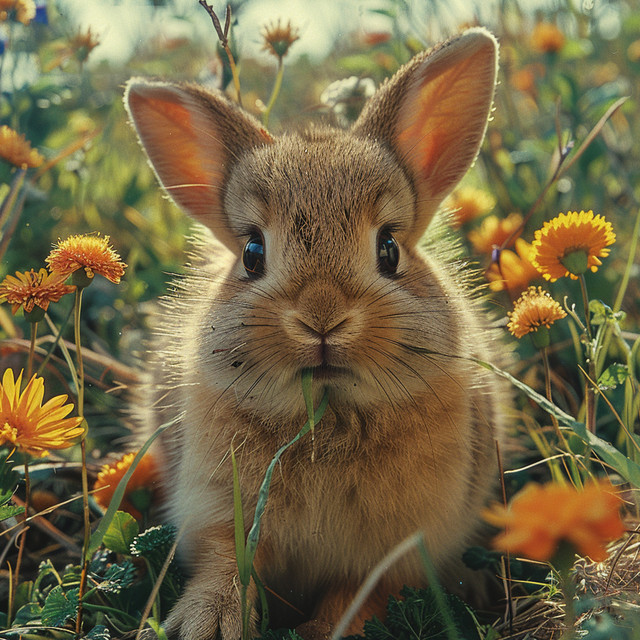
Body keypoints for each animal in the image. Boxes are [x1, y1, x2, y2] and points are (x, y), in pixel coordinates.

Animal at [125, 26, 507, 640]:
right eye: (252, 253)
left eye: (389, 249)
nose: (322, 315)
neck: (328, 411)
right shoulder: (217, 512)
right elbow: (226, 565)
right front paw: (203, 623)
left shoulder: (392, 552)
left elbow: (355, 597)